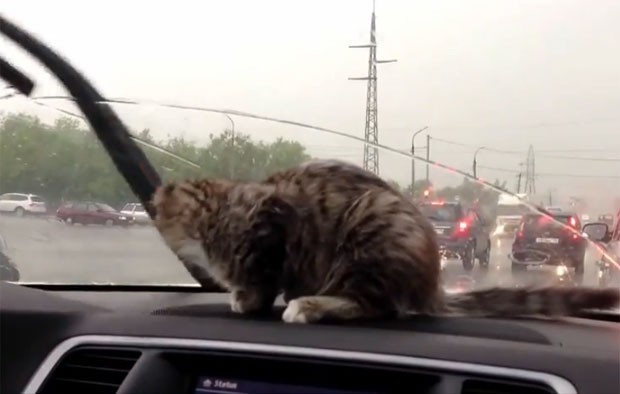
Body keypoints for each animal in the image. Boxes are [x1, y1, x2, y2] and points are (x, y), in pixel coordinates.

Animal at [151, 159, 620, 324]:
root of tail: (432, 282)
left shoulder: (270, 227)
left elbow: (260, 276)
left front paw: (247, 300)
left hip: (370, 234)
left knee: (373, 305)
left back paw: (309, 306)